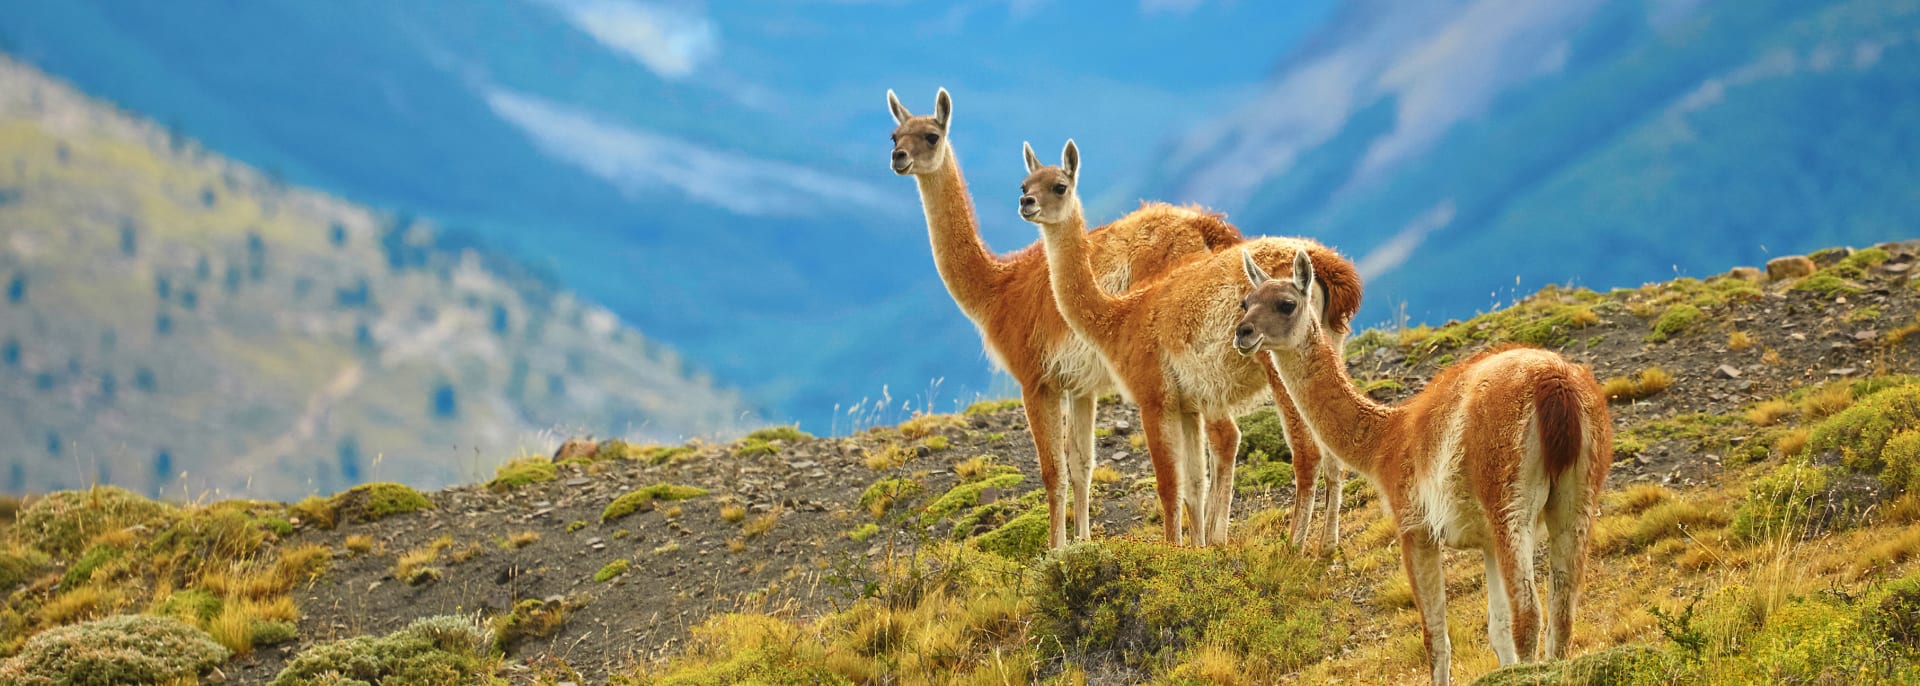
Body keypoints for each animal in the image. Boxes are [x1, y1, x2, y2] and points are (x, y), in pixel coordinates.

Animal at [887, 88, 1244, 545]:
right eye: (895, 134)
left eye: (931, 136)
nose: (898, 157)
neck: (998, 289)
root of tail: (1206, 226)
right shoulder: (1080, 385)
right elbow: (1081, 465)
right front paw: (1082, 541)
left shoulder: (1035, 379)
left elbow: (1052, 470)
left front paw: (1054, 547)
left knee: (1225, 435)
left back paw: (1216, 536)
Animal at [1021, 140, 1367, 545]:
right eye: (1024, 183)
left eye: (1059, 186)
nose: (1026, 203)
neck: (1120, 317)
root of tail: (1328, 265)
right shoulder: (1187, 405)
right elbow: (1192, 483)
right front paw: (1196, 548)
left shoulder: (1155, 399)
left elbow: (1169, 485)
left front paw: (1172, 549)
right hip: (1329, 347)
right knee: (1333, 451)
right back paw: (1327, 545)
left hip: (1283, 363)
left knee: (1307, 452)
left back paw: (1295, 545)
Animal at [1228, 247, 1620, 680]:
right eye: (1246, 302)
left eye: (1286, 304)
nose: (1243, 333)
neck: (1387, 438)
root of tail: (1554, 381)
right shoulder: (1485, 542)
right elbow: (1496, 631)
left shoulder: (1415, 528)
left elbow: (1436, 639)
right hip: (1578, 494)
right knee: (1563, 613)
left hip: (1508, 499)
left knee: (1529, 616)